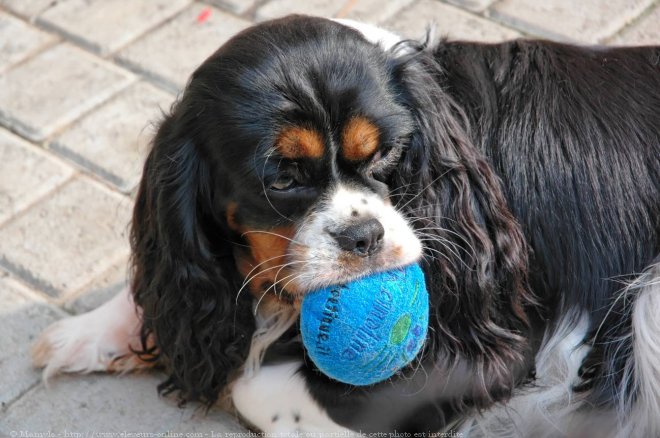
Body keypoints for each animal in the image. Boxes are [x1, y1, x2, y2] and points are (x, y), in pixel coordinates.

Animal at [33, 15, 656, 436]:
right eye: (282, 178)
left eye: (386, 155)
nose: (367, 236)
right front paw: (88, 331)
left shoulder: (500, 343)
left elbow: (259, 386)